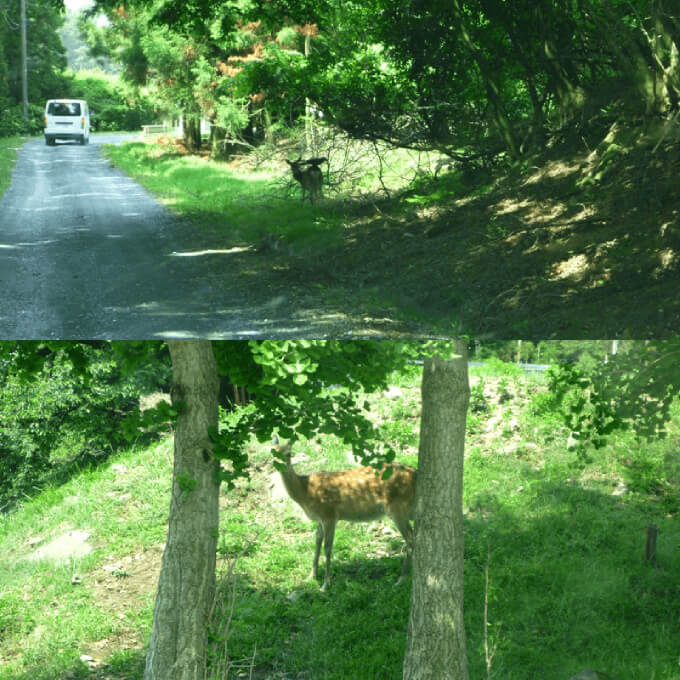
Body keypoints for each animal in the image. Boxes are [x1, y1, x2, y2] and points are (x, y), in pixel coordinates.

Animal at [272, 440, 414, 588]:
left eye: (289, 453)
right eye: (272, 452)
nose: (279, 466)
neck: (306, 492)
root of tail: (415, 473)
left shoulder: (329, 514)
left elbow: (327, 547)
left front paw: (325, 584)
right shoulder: (319, 519)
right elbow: (317, 543)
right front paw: (311, 577)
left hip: (397, 508)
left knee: (410, 540)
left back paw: (401, 579)